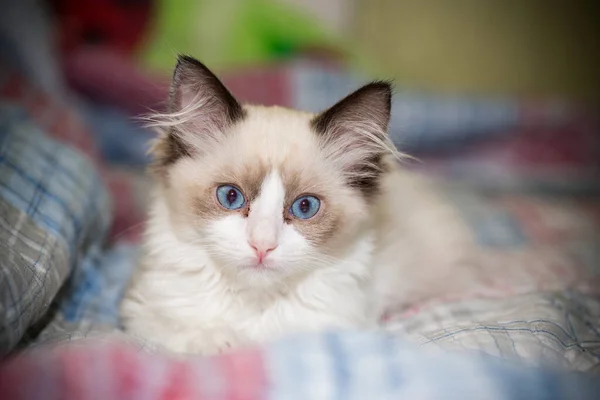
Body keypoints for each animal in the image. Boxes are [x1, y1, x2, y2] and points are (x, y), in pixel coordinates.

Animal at [118, 54, 474, 354]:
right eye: (230, 197)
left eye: (305, 207)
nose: (262, 246)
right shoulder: (140, 313)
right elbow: (191, 336)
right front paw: (222, 343)